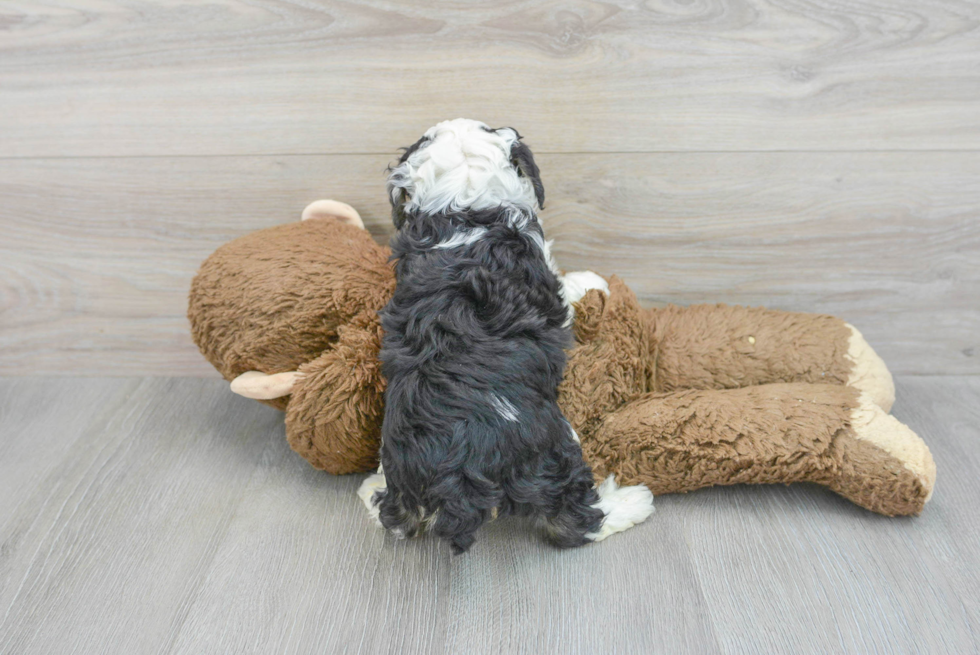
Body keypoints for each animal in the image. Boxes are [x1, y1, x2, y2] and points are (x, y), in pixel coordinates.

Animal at [358, 119, 652, 552]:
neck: (462, 209)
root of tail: (458, 475)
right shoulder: (547, 282)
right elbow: (568, 288)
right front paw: (592, 281)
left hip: (404, 474)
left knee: (395, 517)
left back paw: (370, 489)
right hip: (554, 448)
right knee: (575, 519)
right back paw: (633, 502)